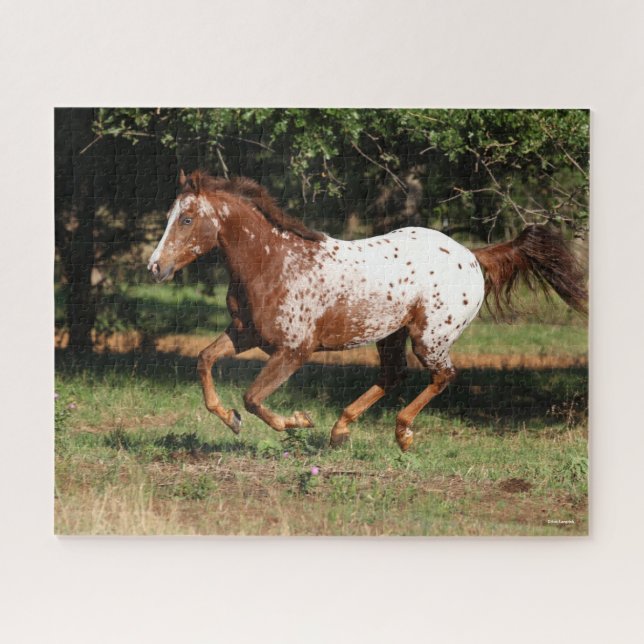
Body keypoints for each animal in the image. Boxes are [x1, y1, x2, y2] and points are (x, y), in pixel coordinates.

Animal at [148, 170, 587, 451]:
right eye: (170, 216)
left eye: (187, 219)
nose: (155, 267)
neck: (273, 263)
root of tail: (473, 257)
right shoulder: (245, 334)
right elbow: (204, 361)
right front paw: (231, 420)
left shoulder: (294, 351)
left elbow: (253, 397)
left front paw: (298, 421)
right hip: (391, 335)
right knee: (393, 375)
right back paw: (340, 431)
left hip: (430, 338)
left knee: (443, 376)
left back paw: (402, 434)